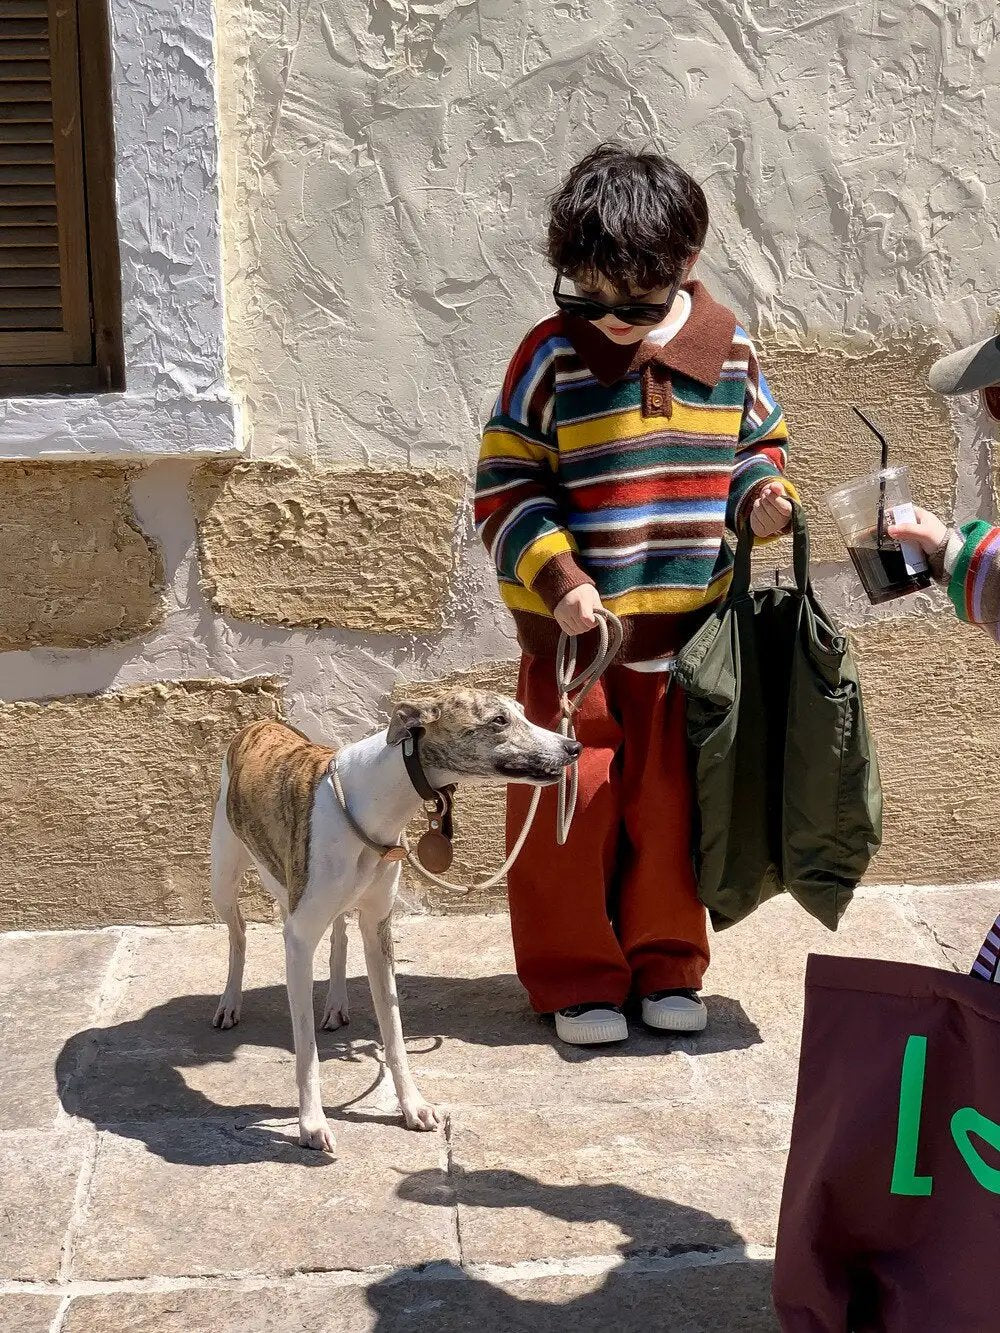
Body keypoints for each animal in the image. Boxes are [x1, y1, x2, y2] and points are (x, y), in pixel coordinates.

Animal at [216, 693, 584, 1151]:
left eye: (521, 712)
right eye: (499, 721)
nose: (574, 748)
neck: (370, 802)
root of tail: (261, 722)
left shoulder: (377, 927)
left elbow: (393, 1032)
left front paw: (413, 1106)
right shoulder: (299, 938)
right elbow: (307, 1051)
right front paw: (312, 1125)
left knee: (338, 935)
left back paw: (336, 1003)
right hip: (226, 880)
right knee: (239, 936)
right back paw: (230, 1003)